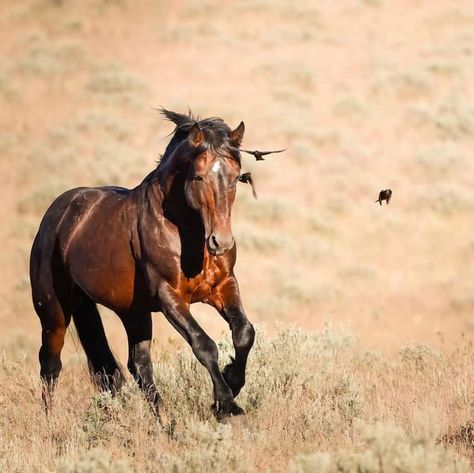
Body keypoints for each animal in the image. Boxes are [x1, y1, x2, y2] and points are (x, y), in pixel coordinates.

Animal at [29, 109, 272, 422]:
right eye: (198, 176)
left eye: (235, 178)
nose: (221, 242)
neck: (185, 232)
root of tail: (58, 213)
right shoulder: (169, 297)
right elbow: (204, 344)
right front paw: (227, 406)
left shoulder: (223, 286)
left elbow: (244, 333)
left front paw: (232, 382)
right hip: (54, 311)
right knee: (50, 364)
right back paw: (49, 422)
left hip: (134, 312)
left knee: (139, 366)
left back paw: (163, 421)